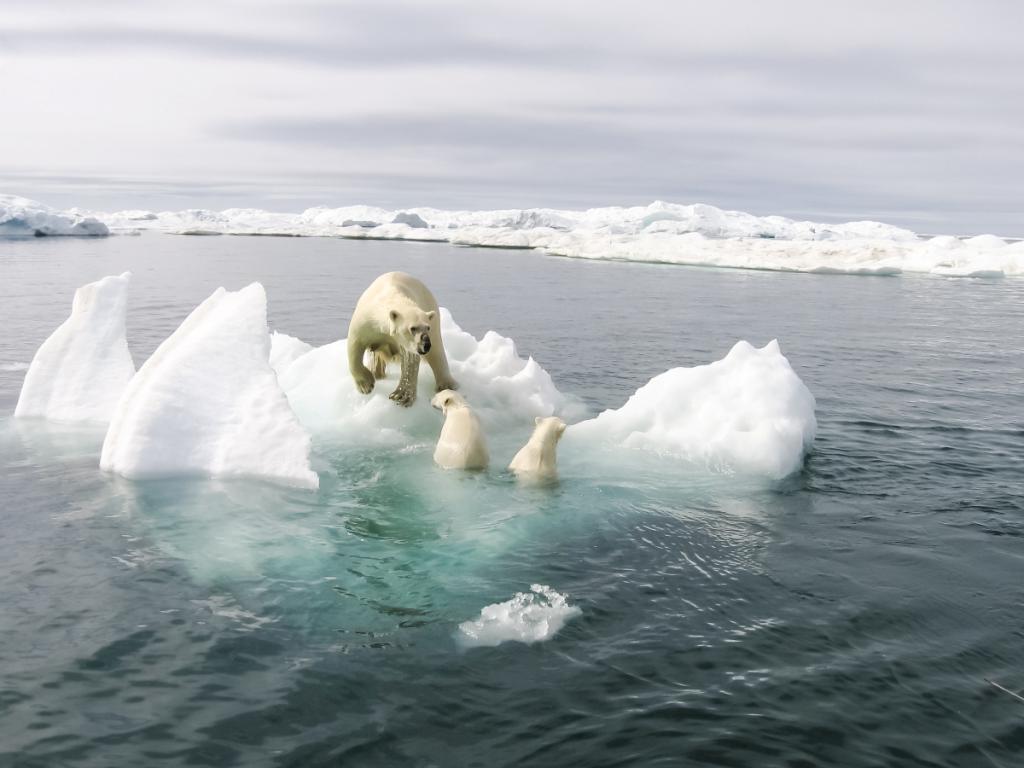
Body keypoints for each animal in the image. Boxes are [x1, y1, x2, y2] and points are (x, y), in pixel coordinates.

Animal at [348, 270, 456, 405]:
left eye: (427, 327)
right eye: (412, 328)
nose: (426, 345)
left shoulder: (407, 343)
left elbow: (410, 361)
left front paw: (401, 395)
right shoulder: (366, 320)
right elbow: (355, 344)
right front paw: (366, 385)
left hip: (433, 315)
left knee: (437, 351)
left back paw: (446, 385)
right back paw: (377, 373)